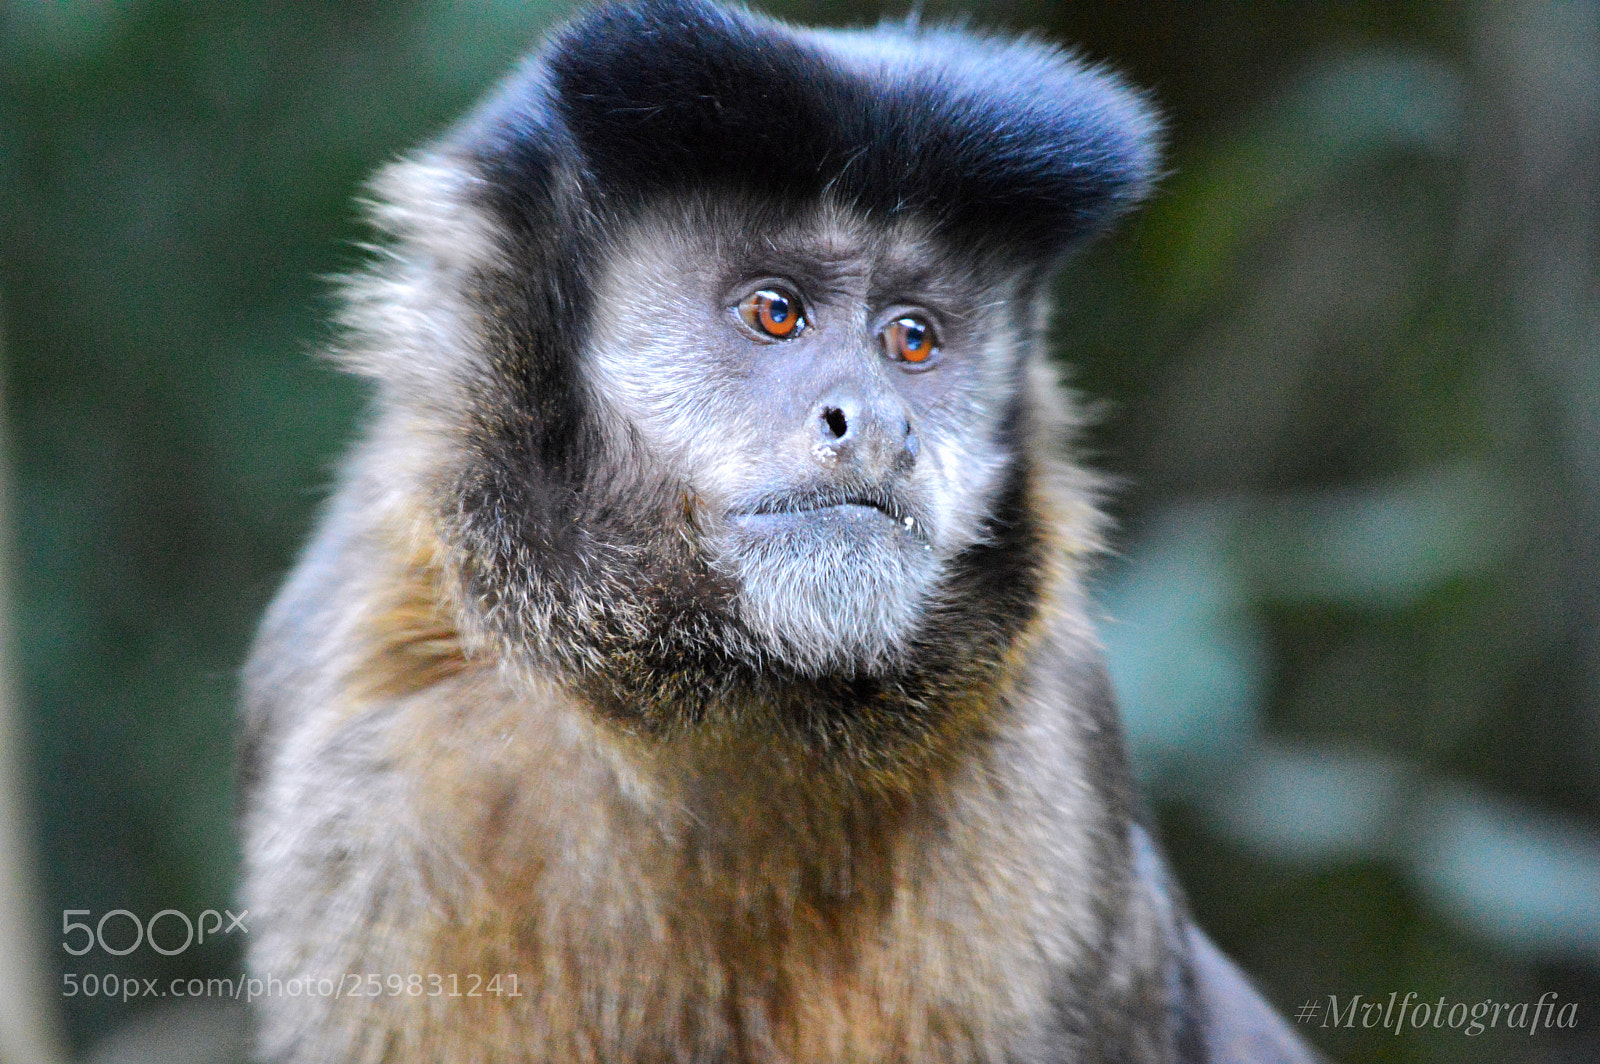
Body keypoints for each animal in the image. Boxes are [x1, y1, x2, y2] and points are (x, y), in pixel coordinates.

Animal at [238, 1, 1325, 1061]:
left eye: (912, 339)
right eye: (774, 312)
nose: (880, 424)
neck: (714, 691)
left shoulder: (1058, 746)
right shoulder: (360, 763)